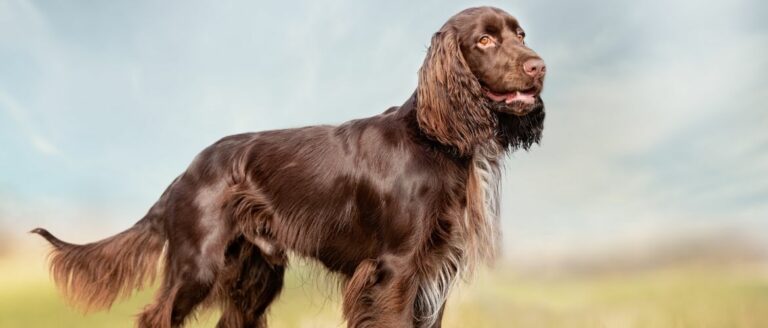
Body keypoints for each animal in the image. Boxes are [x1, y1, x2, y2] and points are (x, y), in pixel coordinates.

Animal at [31, 5, 544, 328]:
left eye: (521, 34)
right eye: (484, 40)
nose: (538, 66)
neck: (436, 138)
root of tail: (187, 171)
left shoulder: (435, 272)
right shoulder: (395, 270)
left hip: (256, 272)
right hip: (198, 264)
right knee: (155, 317)